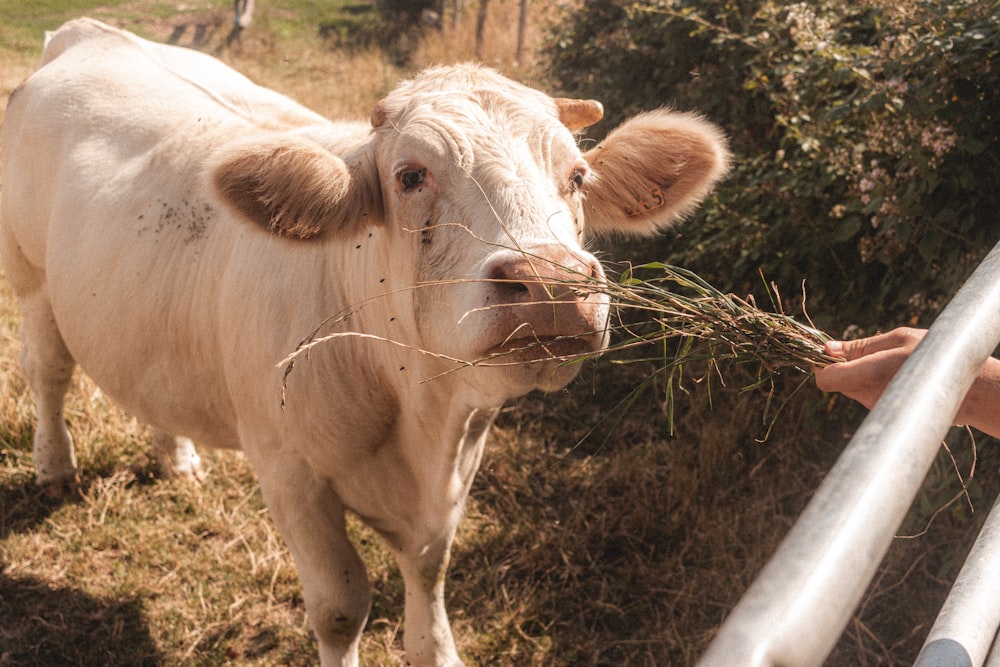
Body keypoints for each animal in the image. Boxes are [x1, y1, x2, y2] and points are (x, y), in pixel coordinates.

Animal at [1, 18, 728, 664]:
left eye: (578, 177)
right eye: (410, 175)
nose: (551, 282)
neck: (418, 413)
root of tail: (92, 32)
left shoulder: (455, 472)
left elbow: (429, 581)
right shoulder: (288, 471)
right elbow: (340, 606)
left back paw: (177, 456)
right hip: (33, 277)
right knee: (48, 372)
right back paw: (55, 467)